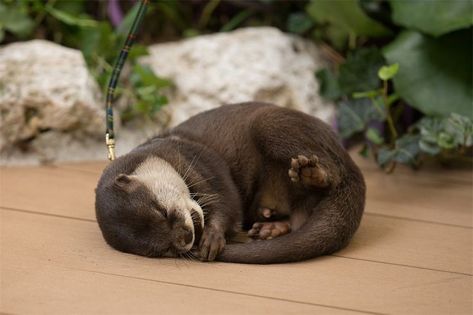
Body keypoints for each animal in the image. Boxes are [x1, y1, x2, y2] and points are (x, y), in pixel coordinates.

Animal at [93, 103, 366, 264]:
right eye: (164, 250)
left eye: (162, 211)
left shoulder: (200, 162)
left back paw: (311, 172)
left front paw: (213, 236)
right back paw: (269, 229)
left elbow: (227, 202)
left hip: (271, 124)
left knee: (332, 173)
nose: (186, 236)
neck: (165, 151)